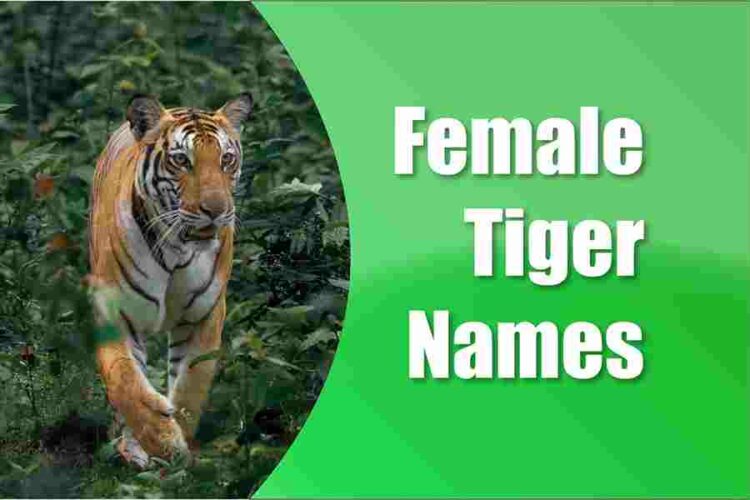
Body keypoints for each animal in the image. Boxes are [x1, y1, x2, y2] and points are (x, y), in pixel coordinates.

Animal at [88, 93, 252, 467]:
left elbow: (192, 383)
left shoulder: (205, 314)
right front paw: (160, 440)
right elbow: (125, 381)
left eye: (226, 159)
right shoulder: (113, 311)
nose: (215, 210)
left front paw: (181, 444)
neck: (177, 248)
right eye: (181, 160)